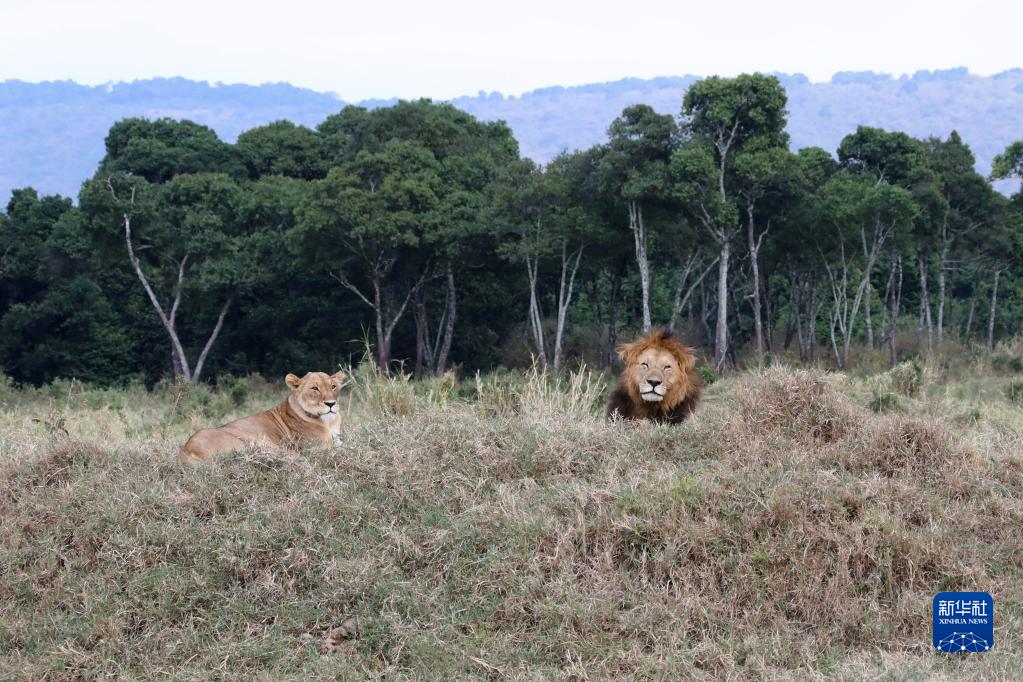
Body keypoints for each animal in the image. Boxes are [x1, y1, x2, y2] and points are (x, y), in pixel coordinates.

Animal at [181, 370, 347, 466]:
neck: (328, 422)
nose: (331, 404)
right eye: (315, 388)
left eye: (333, 386)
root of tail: (186, 449)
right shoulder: (320, 448)